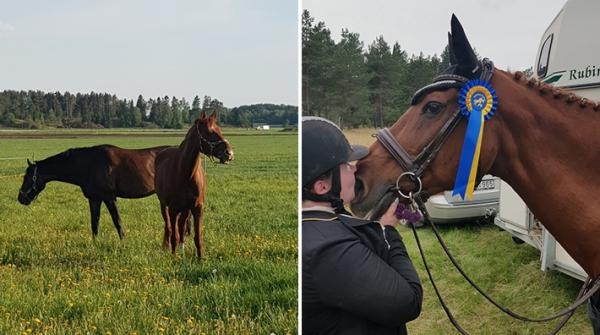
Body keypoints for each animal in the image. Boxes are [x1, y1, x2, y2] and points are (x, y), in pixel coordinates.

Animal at [17, 144, 171, 239]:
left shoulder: (109, 198)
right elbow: (94, 223)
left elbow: (117, 222)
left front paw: (123, 242)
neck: (89, 165)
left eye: (28, 177)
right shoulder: (94, 199)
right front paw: (95, 244)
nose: (21, 198)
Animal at [155, 111, 232, 258]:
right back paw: (167, 247)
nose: (229, 153)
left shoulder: (197, 208)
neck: (185, 173)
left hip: (186, 209)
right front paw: (173, 257)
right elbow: (174, 235)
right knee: (169, 228)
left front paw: (200, 258)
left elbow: (198, 237)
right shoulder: (173, 209)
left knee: (181, 226)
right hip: (164, 206)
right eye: (208, 132)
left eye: (220, 129)